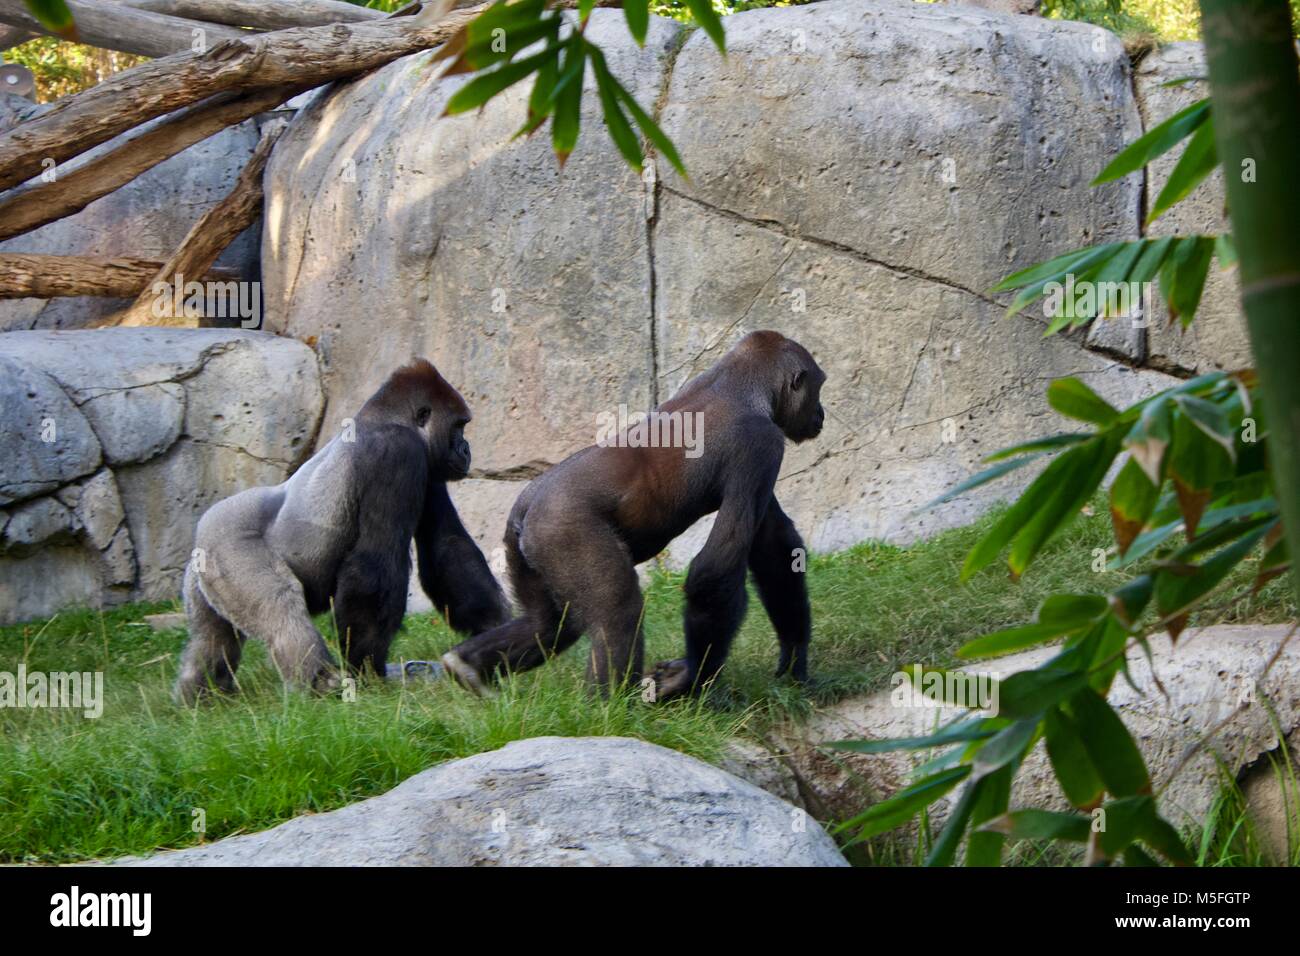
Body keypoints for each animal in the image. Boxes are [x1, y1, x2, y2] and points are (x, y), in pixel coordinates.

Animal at [175, 358, 509, 702]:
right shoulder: (397, 451)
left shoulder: (427, 468)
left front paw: (495, 627)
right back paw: (319, 684)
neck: (383, 418)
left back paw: (201, 695)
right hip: (230, 546)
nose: (466, 449)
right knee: (282, 611)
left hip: (206, 570)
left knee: (211, 638)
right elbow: (375, 564)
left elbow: (446, 547)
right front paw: (366, 670)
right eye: (459, 426)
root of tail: (203, 530)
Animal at [436, 332, 821, 697]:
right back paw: (608, 706)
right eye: (817, 389)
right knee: (617, 612)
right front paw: (692, 676)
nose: (821, 414)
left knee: (549, 625)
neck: (737, 381)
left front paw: (794, 656)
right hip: (562, 528)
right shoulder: (761, 444)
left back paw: (467, 665)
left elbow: (775, 550)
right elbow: (717, 569)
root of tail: (527, 507)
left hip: (521, 545)